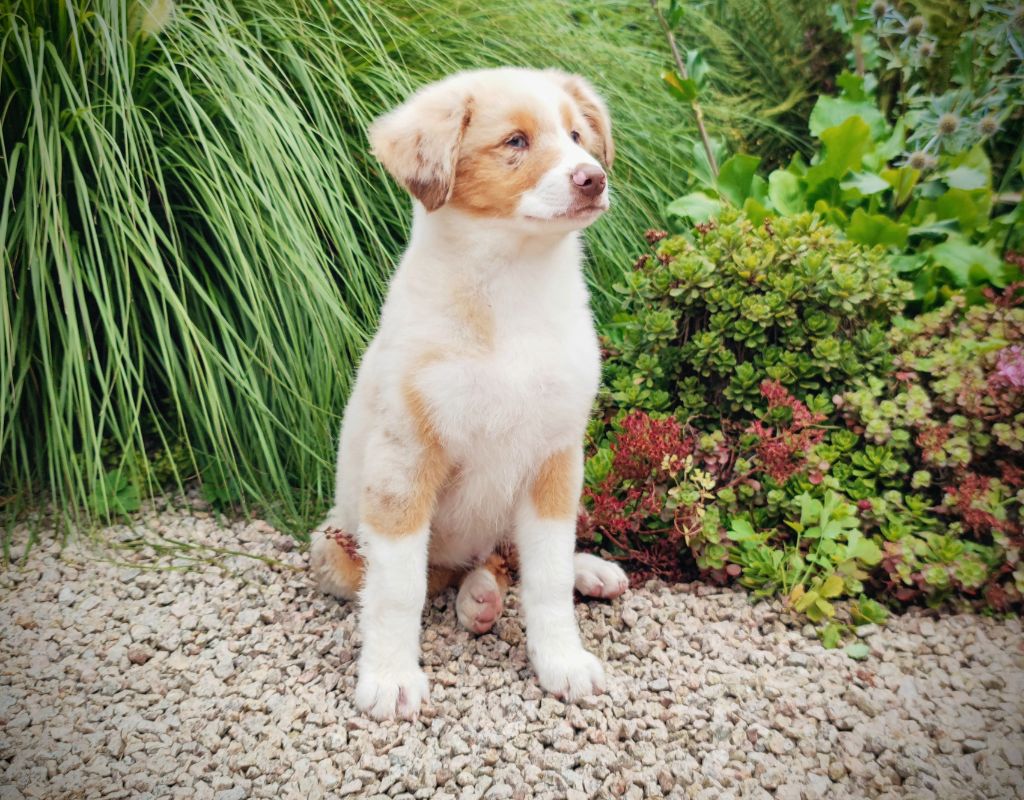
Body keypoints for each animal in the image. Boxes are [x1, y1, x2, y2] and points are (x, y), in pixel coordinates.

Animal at [309, 67, 629, 720]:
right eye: (516, 142)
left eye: (577, 136)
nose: (593, 177)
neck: (511, 286)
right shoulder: (404, 462)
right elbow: (398, 588)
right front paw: (390, 678)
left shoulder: (556, 457)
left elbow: (548, 575)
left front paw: (562, 662)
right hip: (332, 545)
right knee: (440, 575)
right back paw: (475, 598)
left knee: (513, 559)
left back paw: (573, 575)